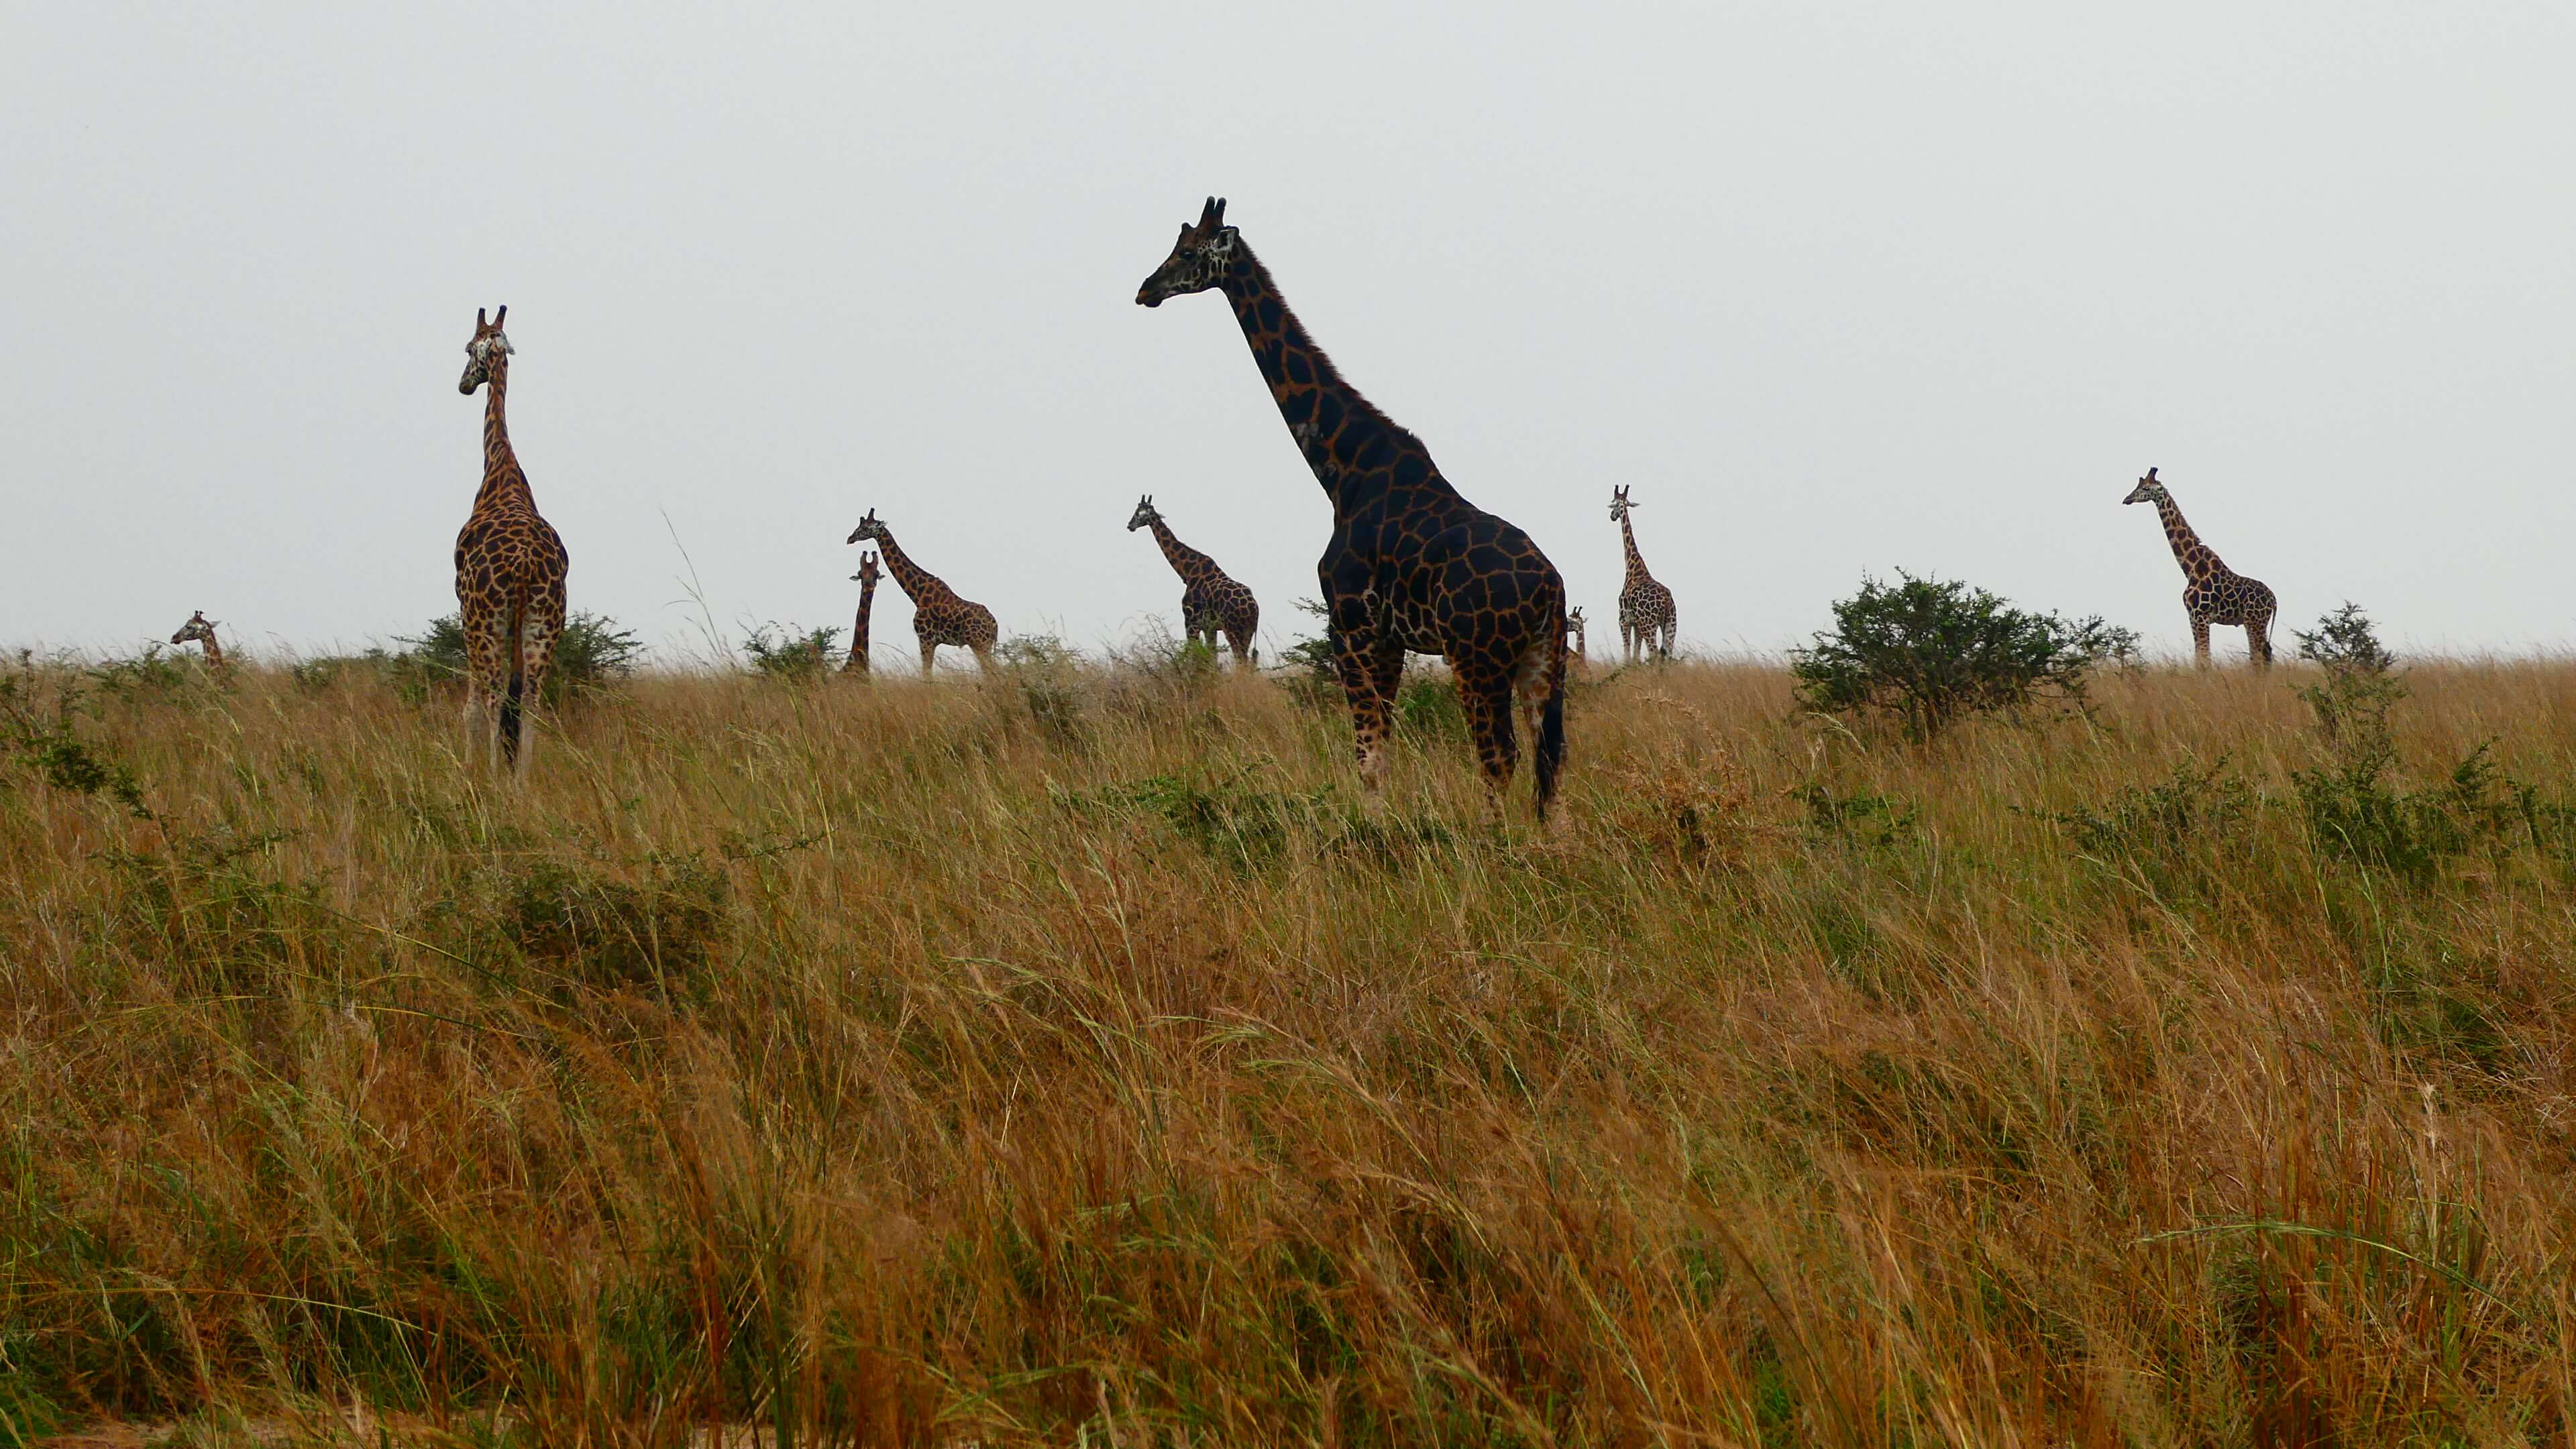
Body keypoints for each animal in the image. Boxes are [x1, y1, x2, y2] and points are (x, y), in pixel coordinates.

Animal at [1125, 494, 1260, 666]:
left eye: (1137, 512)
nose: (1130, 526)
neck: (1188, 573)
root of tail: (1254, 608)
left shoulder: (1191, 622)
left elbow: (1194, 656)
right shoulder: (1210, 628)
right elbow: (1210, 657)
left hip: (1233, 629)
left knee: (1241, 660)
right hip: (1247, 631)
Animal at [1608, 486, 1677, 663]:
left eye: (1613, 504)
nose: (1612, 516)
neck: (1634, 568)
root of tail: (1666, 601)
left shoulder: (1624, 620)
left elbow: (1628, 654)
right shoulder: (1637, 623)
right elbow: (1636, 654)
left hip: (1649, 623)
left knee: (1655, 653)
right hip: (1671, 623)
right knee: (1667, 655)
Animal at [2122, 467, 2276, 667]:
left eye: (2146, 488)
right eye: (2138, 485)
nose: (2127, 499)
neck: (2192, 569)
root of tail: (2274, 600)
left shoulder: (2201, 616)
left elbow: (2204, 659)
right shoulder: (2193, 617)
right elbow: (2200, 658)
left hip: (2254, 621)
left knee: (2258, 658)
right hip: (2255, 623)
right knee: (2264, 656)